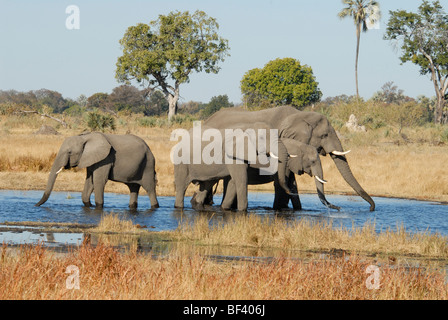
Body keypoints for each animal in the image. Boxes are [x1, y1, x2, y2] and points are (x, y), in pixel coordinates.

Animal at [205, 106, 376, 212]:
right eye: (324, 135)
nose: (371, 208)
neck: (300, 115)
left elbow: (291, 182)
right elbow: (283, 181)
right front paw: (281, 209)